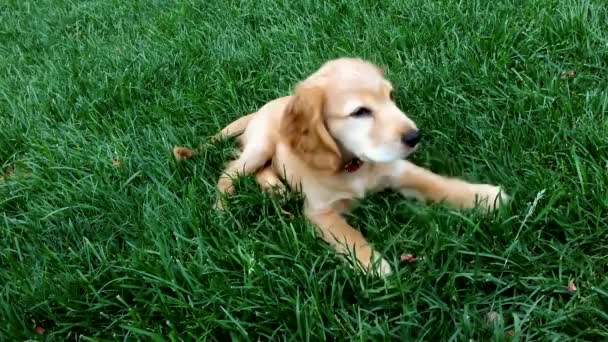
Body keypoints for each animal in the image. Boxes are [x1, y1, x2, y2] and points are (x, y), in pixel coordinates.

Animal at [176, 58, 508, 278]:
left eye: (391, 97)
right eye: (360, 112)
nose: (415, 136)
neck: (353, 165)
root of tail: (262, 107)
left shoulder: (398, 170)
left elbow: (436, 183)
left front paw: (484, 197)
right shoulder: (320, 212)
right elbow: (346, 234)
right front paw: (371, 262)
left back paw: (276, 189)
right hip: (261, 145)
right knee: (229, 172)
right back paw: (222, 210)